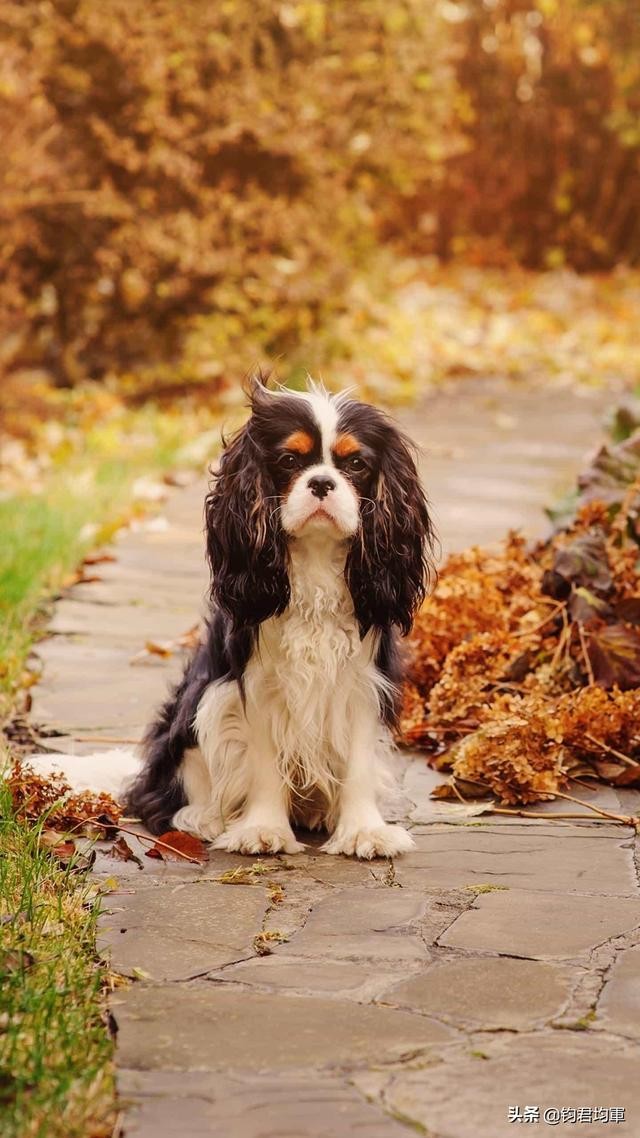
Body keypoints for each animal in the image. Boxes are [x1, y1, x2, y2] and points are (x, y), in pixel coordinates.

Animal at [123, 377, 432, 855]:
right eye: (289, 460)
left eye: (356, 464)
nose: (321, 482)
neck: (316, 562)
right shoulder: (256, 686)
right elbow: (265, 763)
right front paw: (262, 829)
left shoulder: (361, 685)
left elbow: (359, 763)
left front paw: (363, 830)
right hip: (200, 704)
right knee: (165, 794)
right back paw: (203, 819)